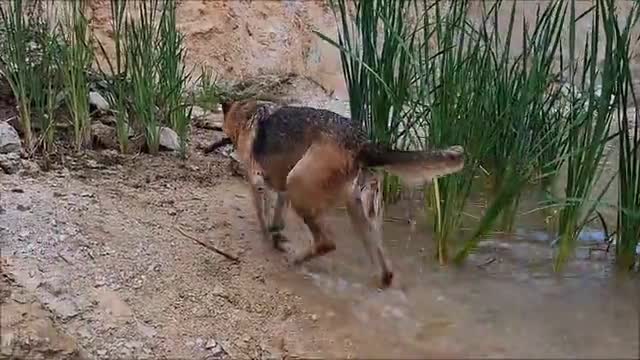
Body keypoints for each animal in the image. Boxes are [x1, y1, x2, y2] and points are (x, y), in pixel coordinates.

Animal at [218, 100, 462, 288]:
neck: (249, 112)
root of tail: (362, 143)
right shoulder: (282, 190)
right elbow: (276, 217)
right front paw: (275, 234)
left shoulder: (258, 182)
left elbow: (263, 215)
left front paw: (267, 237)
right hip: (362, 213)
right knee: (386, 267)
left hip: (299, 184)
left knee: (327, 243)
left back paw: (296, 260)